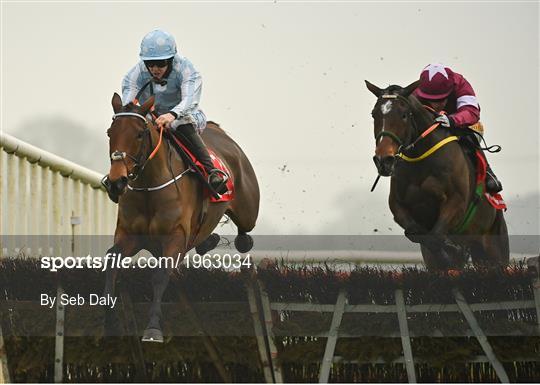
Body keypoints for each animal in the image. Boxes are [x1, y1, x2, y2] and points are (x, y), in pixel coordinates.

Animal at [104, 94, 262, 342]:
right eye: (110, 132)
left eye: (139, 134)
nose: (116, 182)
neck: (149, 187)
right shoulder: (129, 237)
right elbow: (111, 262)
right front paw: (110, 322)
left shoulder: (175, 238)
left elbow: (160, 276)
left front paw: (152, 329)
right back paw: (209, 241)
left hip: (248, 211)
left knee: (245, 235)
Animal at [364, 79, 508, 268]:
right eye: (374, 114)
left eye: (404, 115)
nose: (383, 160)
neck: (421, 160)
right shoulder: (398, 206)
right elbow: (417, 234)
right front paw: (450, 252)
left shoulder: (456, 203)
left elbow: (436, 236)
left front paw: (451, 249)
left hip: (494, 249)